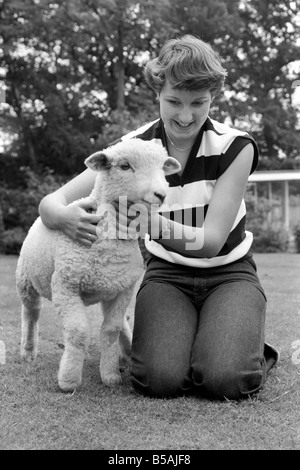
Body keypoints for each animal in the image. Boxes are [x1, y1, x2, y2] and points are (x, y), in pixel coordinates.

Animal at [15, 138, 180, 392]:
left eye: (163, 167)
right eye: (124, 166)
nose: (161, 194)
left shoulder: (123, 290)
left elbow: (110, 330)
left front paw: (110, 375)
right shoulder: (66, 287)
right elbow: (77, 332)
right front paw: (69, 380)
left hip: (109, 287)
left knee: (121, 323)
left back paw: (128, 349)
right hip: (25, 280)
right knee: (31, 313)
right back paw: (28, 352)